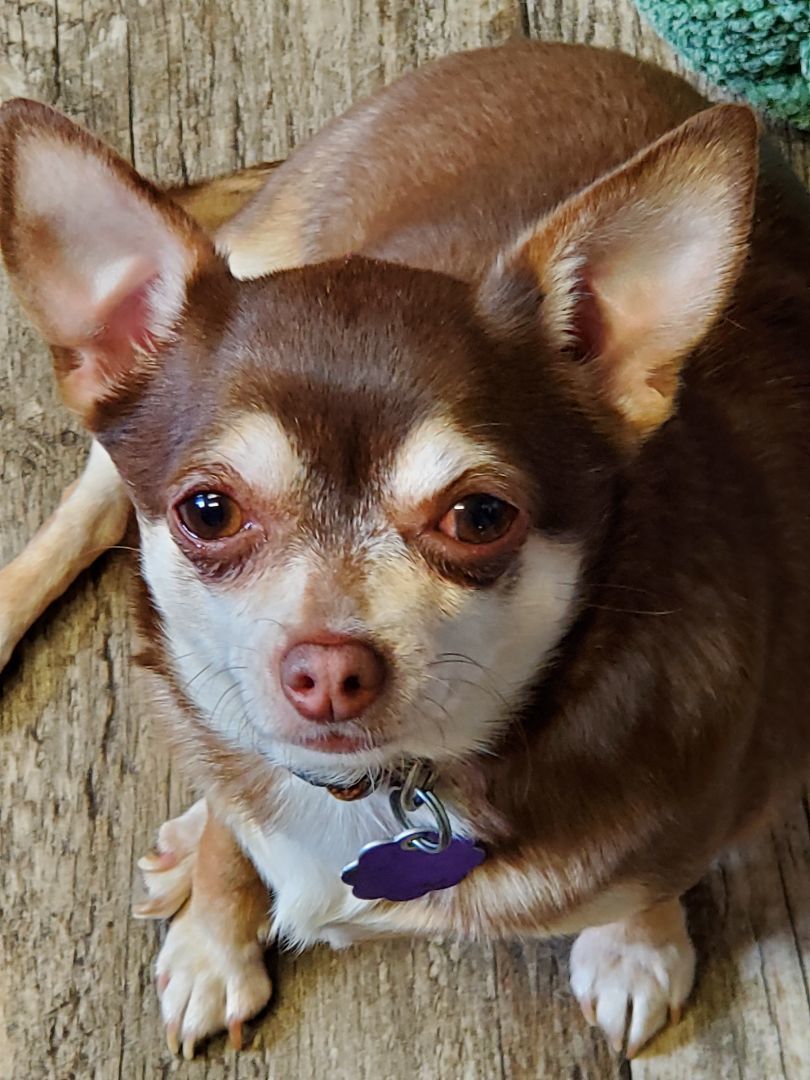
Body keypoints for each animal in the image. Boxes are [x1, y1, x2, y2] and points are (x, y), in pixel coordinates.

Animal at [1, 44, 810, 1062]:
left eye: (478, 516)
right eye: (208, 511)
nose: (327, 670)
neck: (382, 790)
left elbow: (660, 872)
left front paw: (637, 946)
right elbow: (233, 808)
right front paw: (216, 935)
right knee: (86, 511)